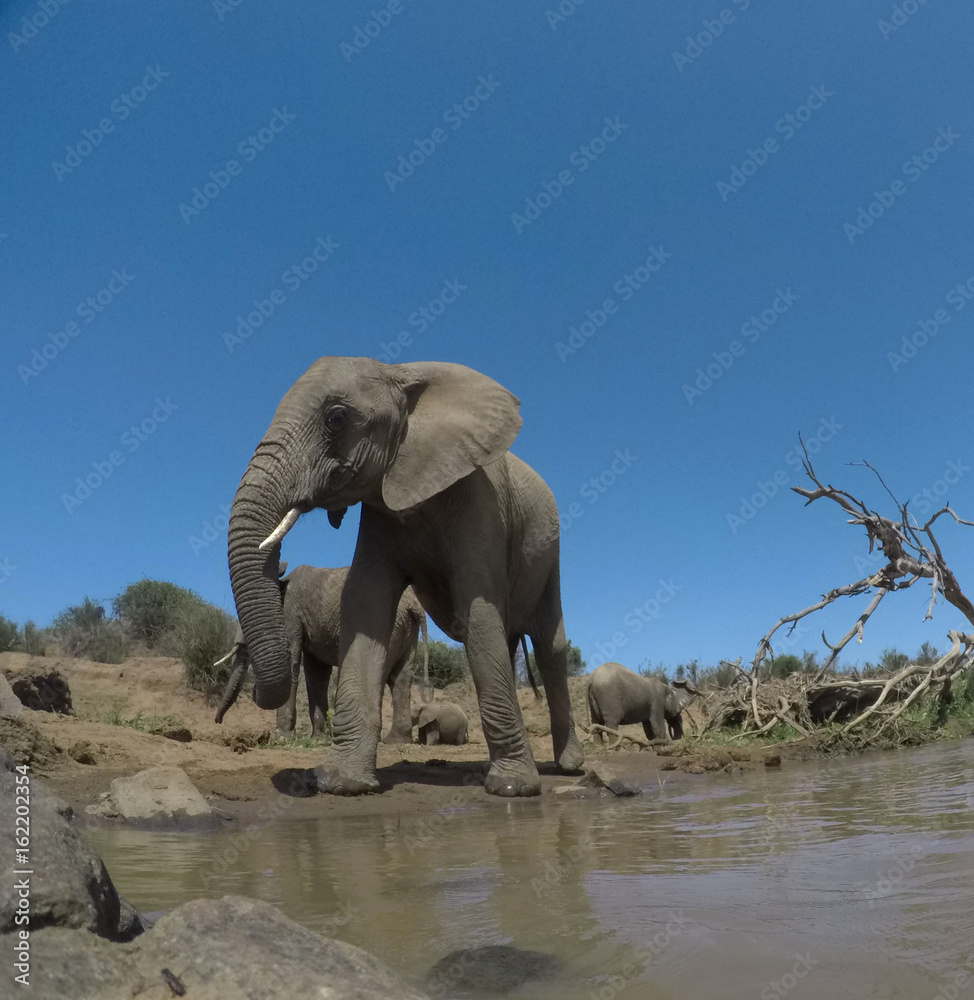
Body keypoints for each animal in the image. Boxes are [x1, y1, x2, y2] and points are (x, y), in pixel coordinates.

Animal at [214, 563, 428, 744]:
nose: (217, 721)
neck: (279, 585)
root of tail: (414, 604)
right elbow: (316, 673)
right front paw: (318, 740)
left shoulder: (290, 614)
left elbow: (293, 661)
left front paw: (281, 738)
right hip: (406, 629)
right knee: (400, 679)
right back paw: (395, 741)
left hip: (384, 626)